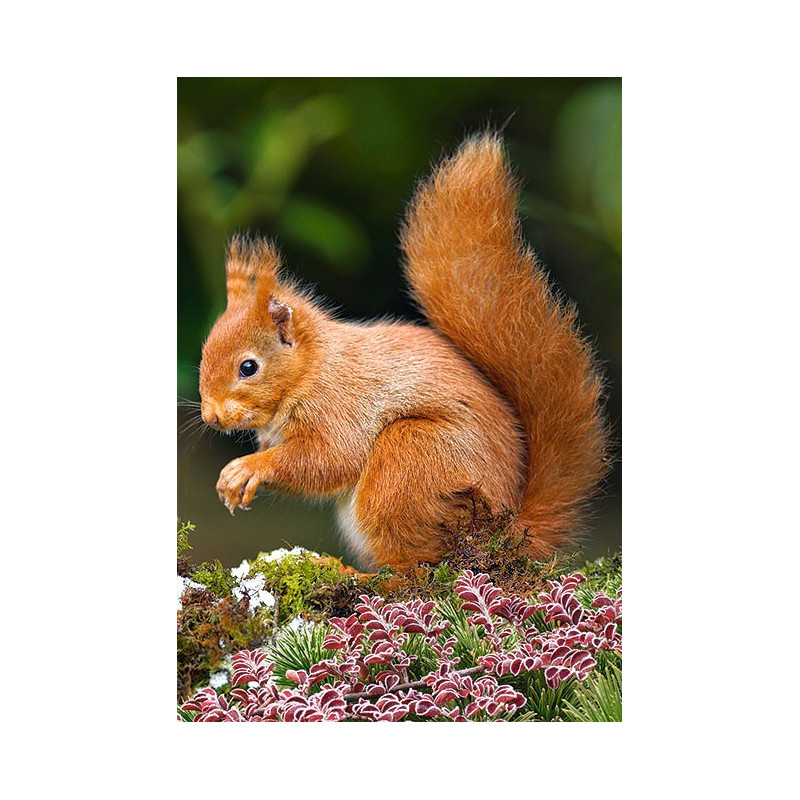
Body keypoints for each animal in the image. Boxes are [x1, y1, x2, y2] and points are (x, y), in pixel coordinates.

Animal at [199, 133, 609, 571]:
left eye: (248, 367)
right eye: (204, 354)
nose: (211, 417)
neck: (311, 370)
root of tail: (506, 533)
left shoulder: (341, 406)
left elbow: (328, 459)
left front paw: (246, 469)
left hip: (409, 463)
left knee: (416, 569)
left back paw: (352, 573)